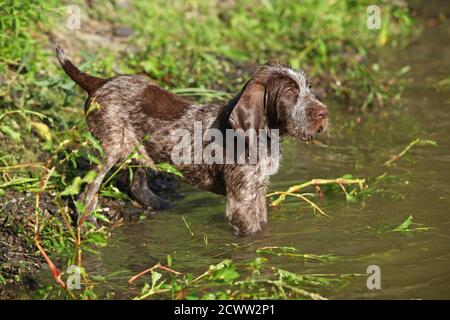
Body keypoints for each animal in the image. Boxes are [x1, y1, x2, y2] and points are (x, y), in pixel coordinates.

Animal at [56, 44, 326, 235]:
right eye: (289, 93)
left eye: (308, 87)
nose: (324, 113)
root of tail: (100, 82)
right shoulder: (241, 203)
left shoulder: (257, 192)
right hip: (109, 148)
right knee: (87, 192)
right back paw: (85, 223)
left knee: (137, 185)